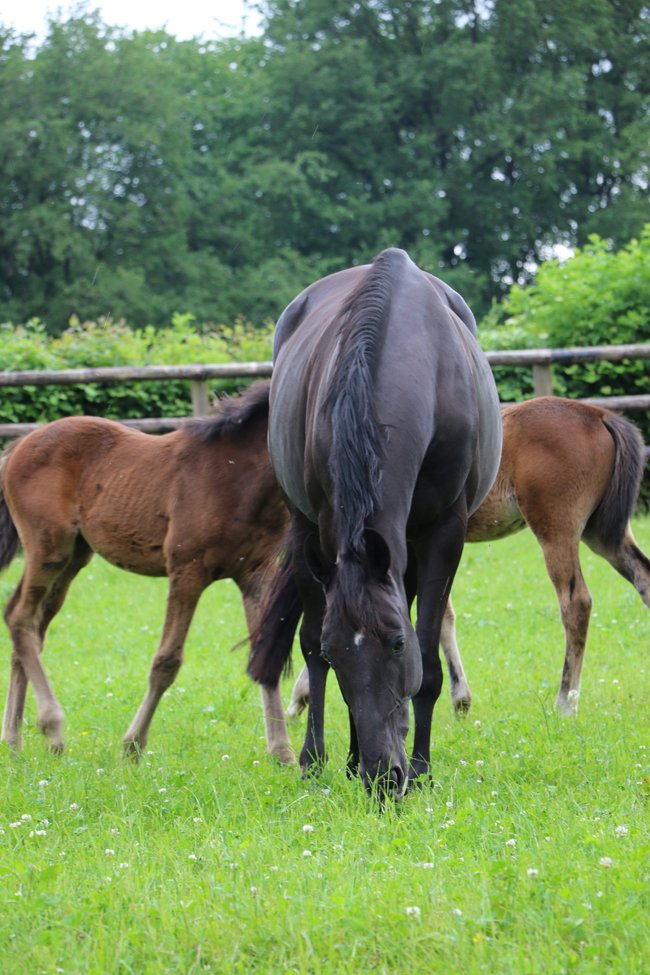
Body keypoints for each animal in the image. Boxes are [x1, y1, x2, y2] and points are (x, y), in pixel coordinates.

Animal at [0, 381, 296, 764]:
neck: (239, 477)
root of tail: (18, 446)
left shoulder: (256, 576)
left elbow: (265, 654)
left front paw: (283, 752)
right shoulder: (187, 570)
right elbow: (166, 662)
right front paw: (133, 745)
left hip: (73, 557)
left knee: (28, 625)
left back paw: (13, 739)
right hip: (48, 548)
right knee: (20, 618)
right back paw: (52, 728)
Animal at [248, 248, 502, 797]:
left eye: (396, 644)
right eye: (339, 651)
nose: (384, 777)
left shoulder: (445, 533)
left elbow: (427, 661)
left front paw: (423, 769)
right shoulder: (325, 533)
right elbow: (314, 649)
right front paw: (326, 760)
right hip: (310, 532)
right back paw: (329, 759)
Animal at [285, 396, 650, 721]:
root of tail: (599, 415)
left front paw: (300, 696)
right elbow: (442, 615)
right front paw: (459, 699)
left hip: (557, 530)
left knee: (576, 603)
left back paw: (565, 702)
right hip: (603, 533)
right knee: (643, 578)